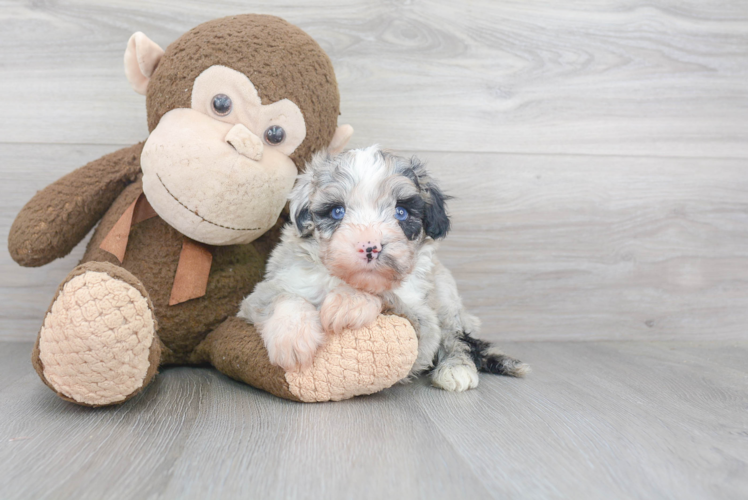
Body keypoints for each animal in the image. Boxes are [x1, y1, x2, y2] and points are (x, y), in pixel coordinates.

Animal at [238, 145, 524, 390]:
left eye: (401, 212)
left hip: (446, 295)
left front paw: (349, 301)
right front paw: (291, 338)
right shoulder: (265, 290)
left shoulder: (422, 324)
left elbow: (389, 298)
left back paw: (457, 369)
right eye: (337, 211)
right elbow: (284, 296)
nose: (370, 247)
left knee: (458, 336)